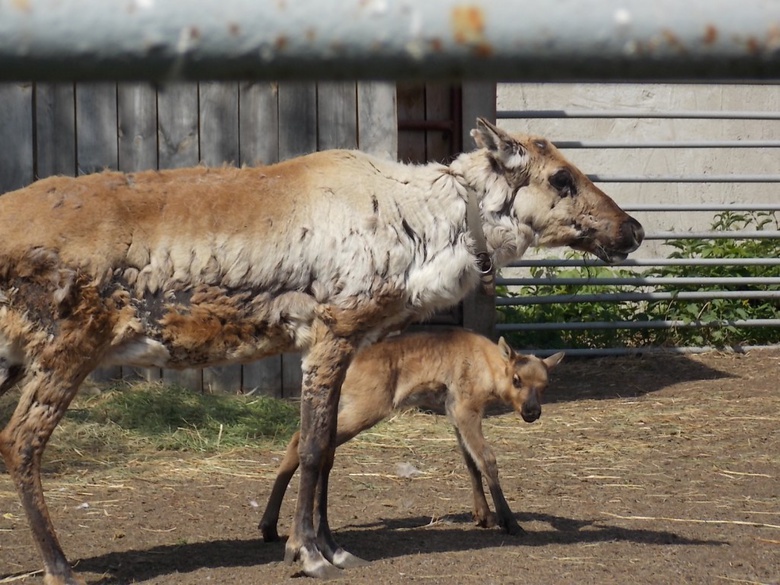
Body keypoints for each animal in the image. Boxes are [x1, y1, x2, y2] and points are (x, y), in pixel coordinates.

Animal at [260, 328, 560, 540]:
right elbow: (487, 460)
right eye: (517, 380)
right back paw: (270, 526)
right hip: (363, 411)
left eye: (545, 385)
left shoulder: (455, 416)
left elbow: (470, 463)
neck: (488, 364)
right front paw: (510, 523)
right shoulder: (467, 411)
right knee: (299, 440)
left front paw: (484, 516)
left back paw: (274, 525)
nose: (532, 411)